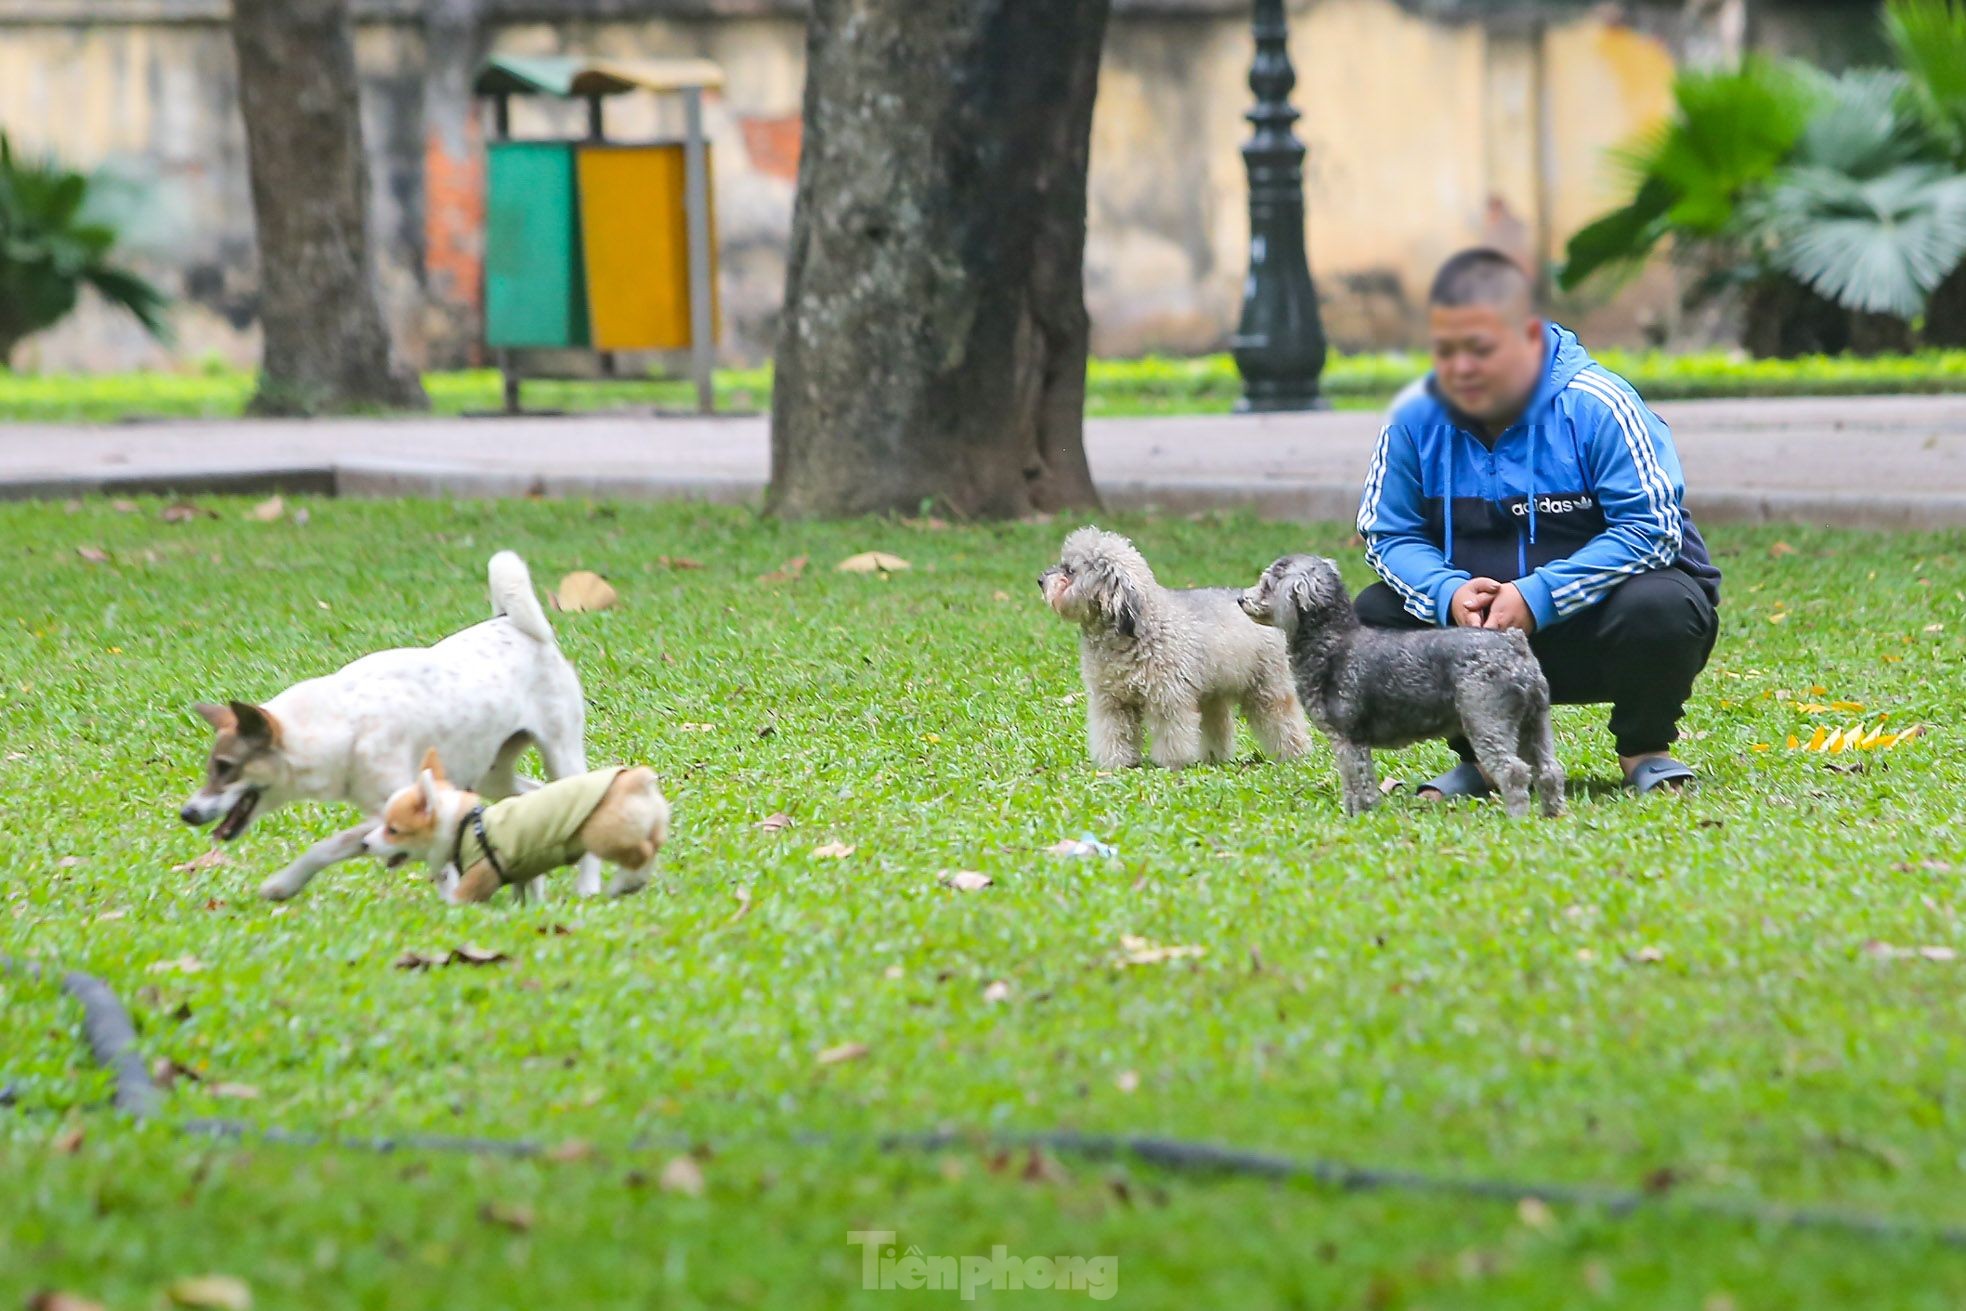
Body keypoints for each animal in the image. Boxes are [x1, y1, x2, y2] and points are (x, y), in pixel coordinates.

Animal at [183, 550, 597, 904]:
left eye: (225, 767)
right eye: (213, 767)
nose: (187, 814)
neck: (343, 725)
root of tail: (509, 621)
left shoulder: (401, 806)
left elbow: (332, 846)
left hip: (560, 751)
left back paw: (588, 886)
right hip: (490, 773)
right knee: (536, 797)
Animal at [365, 746, 672, 904]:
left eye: (392, 830)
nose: (365, 843)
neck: (465, 825)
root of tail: (635, 780)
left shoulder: (481, 873)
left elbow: (461, 896)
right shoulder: (525, 869)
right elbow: (529, 887)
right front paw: (526, 907)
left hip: (601, 836)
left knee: (640, 852)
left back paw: (625, 882)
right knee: (652, 846)